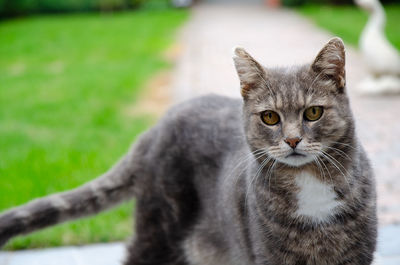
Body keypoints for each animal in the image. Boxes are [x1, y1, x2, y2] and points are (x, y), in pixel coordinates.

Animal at [0, 37, 378, 264]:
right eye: (270, 117)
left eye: (313, 112)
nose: (293, 140)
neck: (311, 187)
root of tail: (154, 129)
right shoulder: (269, 256)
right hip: (158, 232)